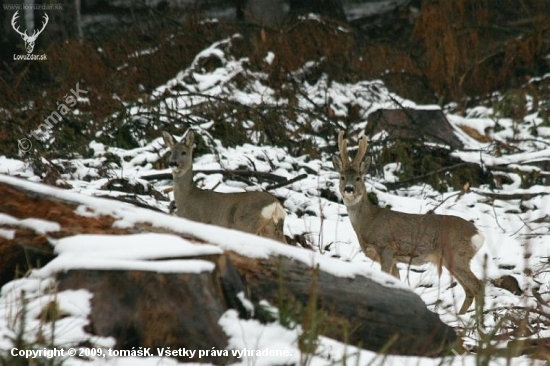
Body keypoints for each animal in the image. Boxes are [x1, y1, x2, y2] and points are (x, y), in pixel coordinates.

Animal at [334, 132, 486, 314]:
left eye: (358, 178)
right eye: (342, 177)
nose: (348, 189)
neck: (368, 222)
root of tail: (478, 234)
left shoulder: (386, 247)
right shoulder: (393, 258)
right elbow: (397, 282)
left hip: (457, 255)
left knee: (478, 286)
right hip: (452, 259)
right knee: (469, 290)